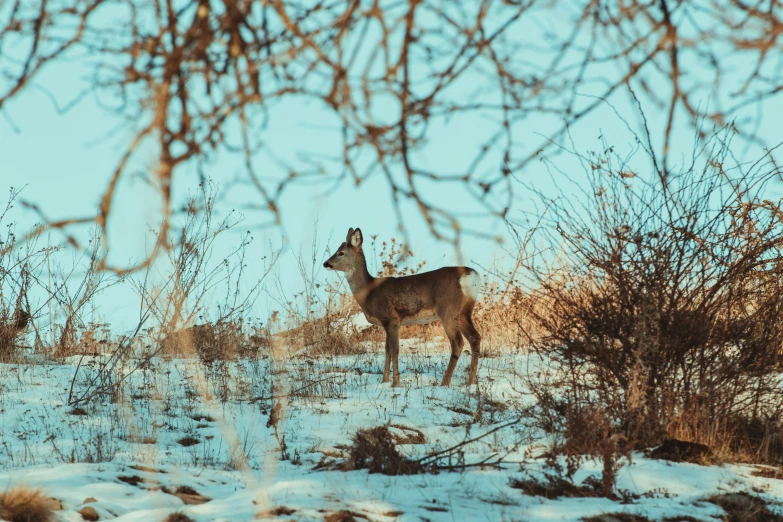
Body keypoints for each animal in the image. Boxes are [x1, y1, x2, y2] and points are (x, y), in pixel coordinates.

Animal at [322, 225, 480, 384]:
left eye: (341, 253)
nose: (325, 263)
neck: (369, 292)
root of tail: (471, 274)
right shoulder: (387, 323)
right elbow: (386, 350)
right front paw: (384, 381)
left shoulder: (391, 319)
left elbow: (394, 350)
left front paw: (395, 383)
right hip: (464, 311)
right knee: (475, 338)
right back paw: (471, 382)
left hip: (448, 309)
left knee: (458, 342)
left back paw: (445, 383)